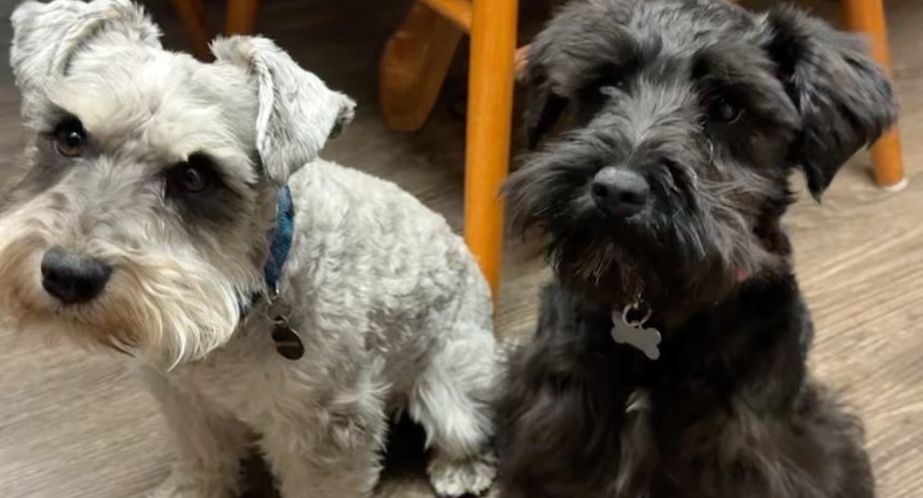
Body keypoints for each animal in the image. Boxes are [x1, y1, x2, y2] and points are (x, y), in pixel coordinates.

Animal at [0, 1, 499, 497]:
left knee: (468, 430)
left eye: (195, 175)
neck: (252, 285)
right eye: (70, 136)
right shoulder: (185, 399)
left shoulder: (326, 430)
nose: (67, 275)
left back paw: (462, 470)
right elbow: (204, 461)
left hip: (452, 389)